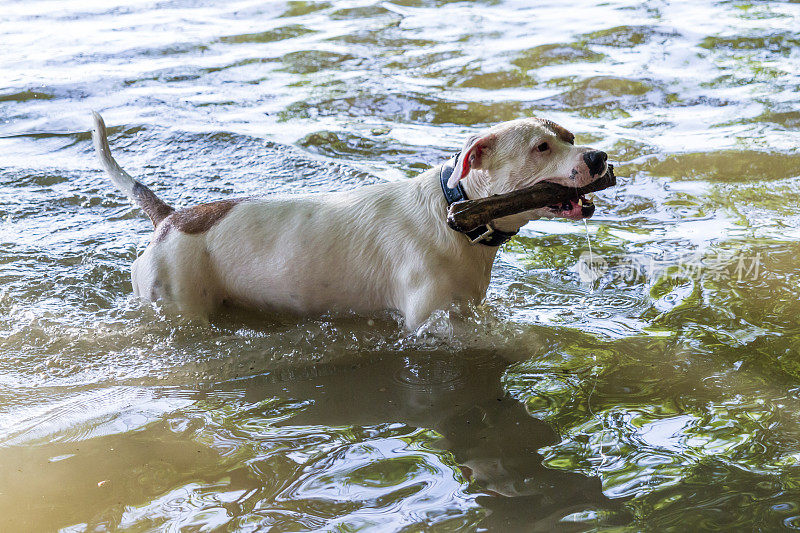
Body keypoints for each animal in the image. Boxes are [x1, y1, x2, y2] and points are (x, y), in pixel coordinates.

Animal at [92, 113, 608, 328]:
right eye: (541, 147)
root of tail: (171, 218)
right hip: (179, 300)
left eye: (569, 137)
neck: (454, 213)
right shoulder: (430, 325)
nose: (599, 157)